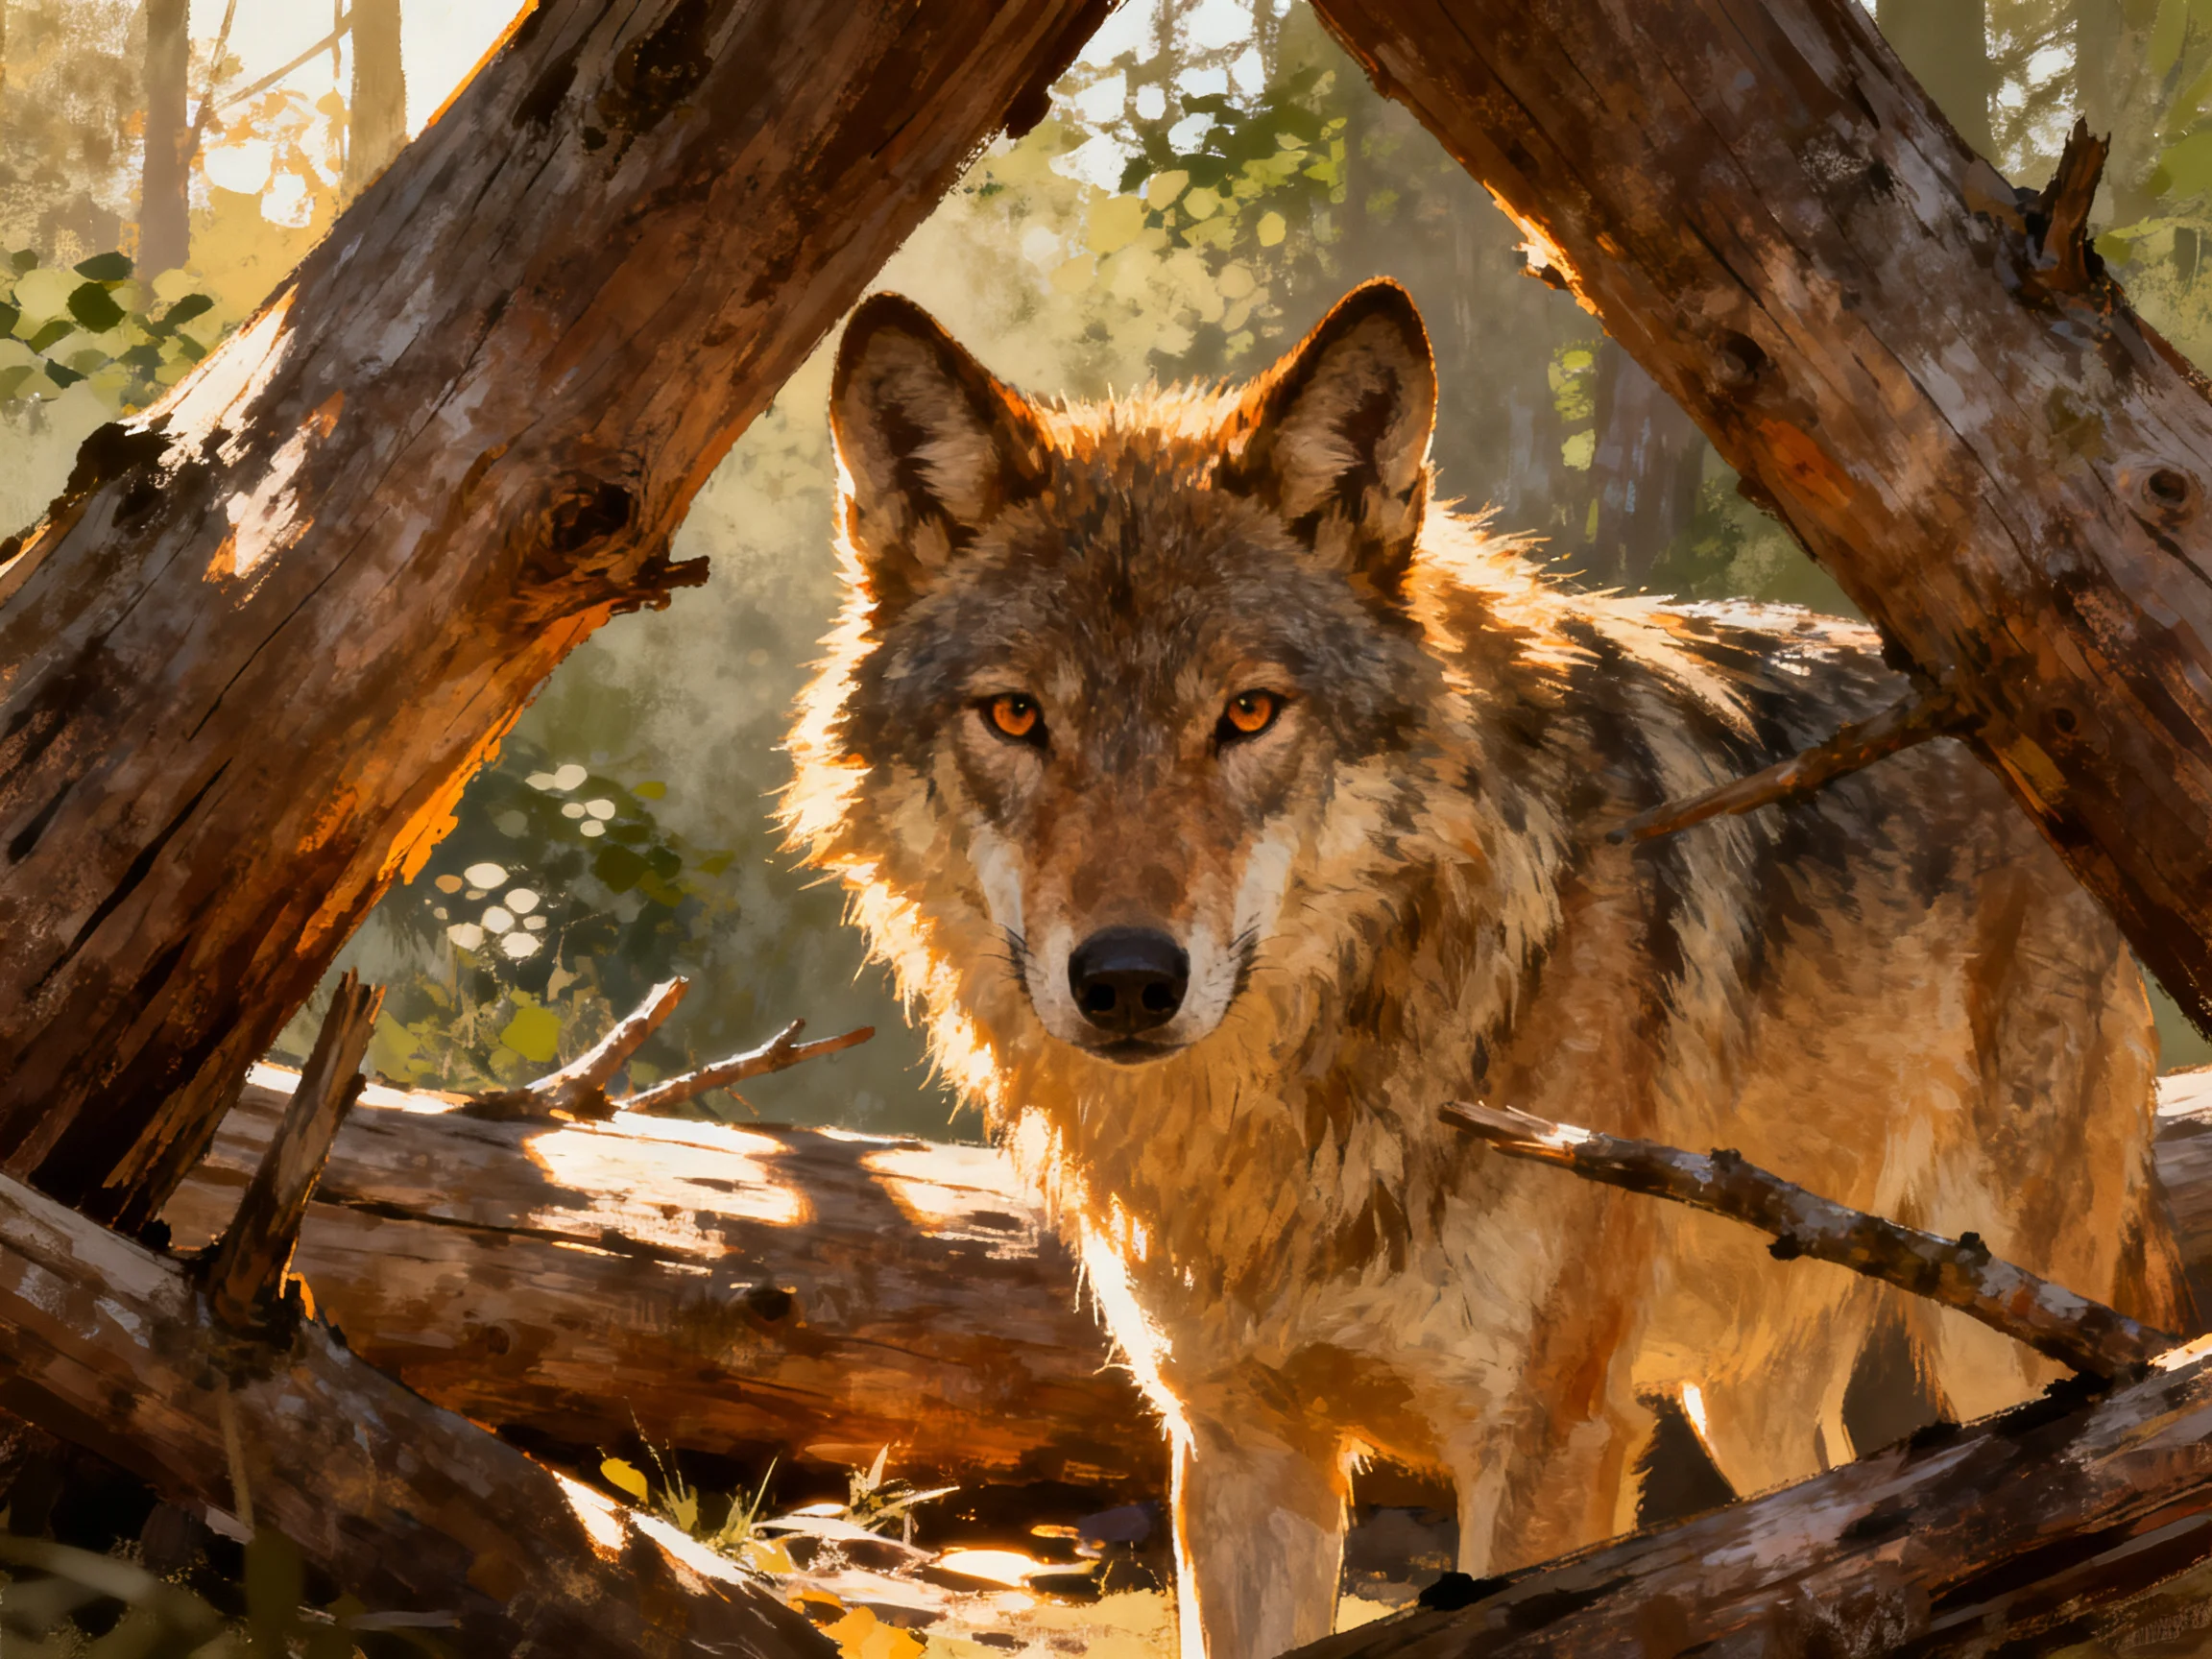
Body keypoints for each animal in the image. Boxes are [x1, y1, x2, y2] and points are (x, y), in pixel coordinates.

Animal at [785, 279, 2183, 1659]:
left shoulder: (1549, 1437)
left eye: (1249, 713)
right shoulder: (1239, 1446)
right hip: (1748, 1399)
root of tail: (2005, 710)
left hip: (2003, 1337)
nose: (1128, 978)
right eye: (1017, 715)